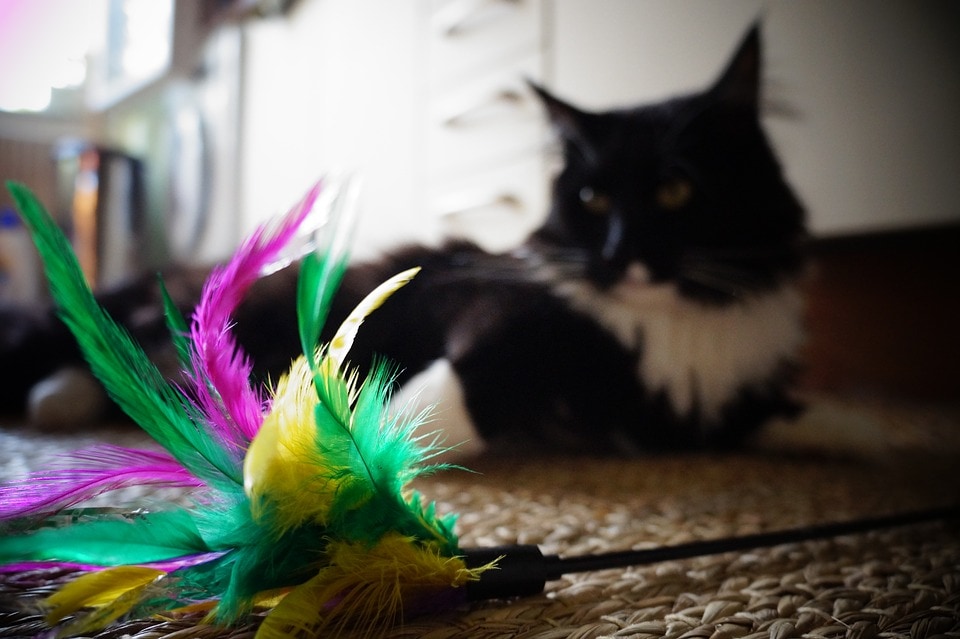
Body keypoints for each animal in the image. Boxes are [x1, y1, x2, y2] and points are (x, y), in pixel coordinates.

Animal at [1, 26, 808, 456]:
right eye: (591, 198)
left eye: (675, 190)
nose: (616, 255)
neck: (668, 325)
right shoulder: (482, 312)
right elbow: (447, 395)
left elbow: (785, 418)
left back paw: (64, 400)